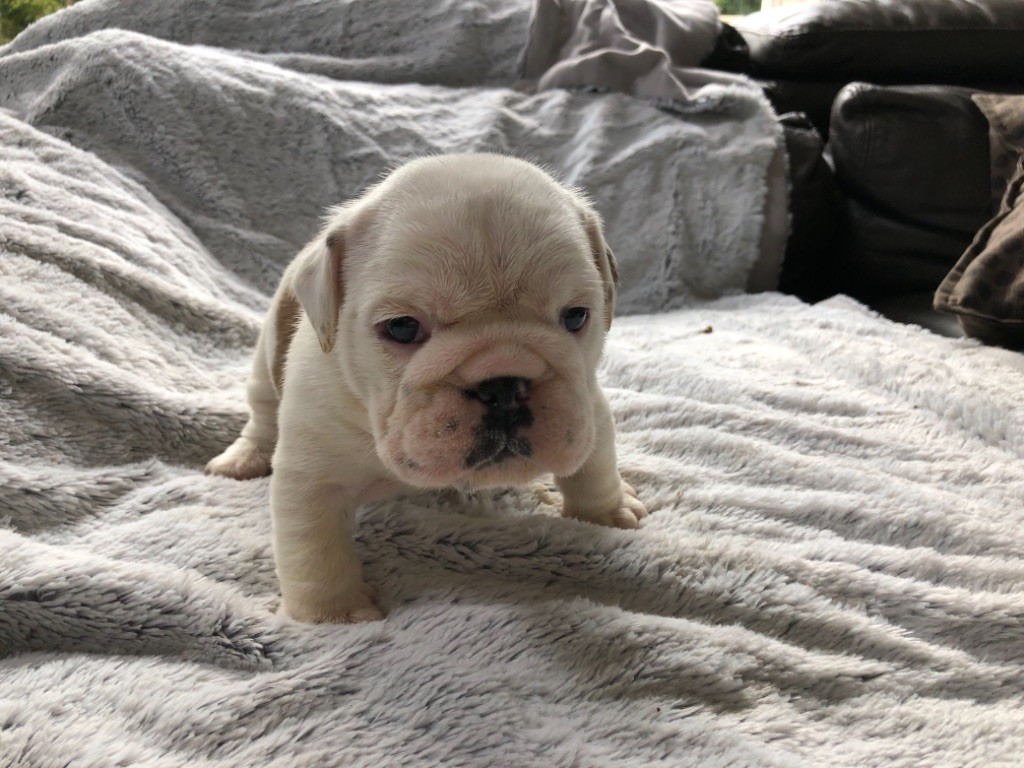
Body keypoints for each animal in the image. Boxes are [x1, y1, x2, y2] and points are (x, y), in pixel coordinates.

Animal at [206, 154, 647, 623]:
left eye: (576, 316)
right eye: (402, 327)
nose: (504, 385)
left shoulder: (585, 403)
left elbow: (594, 463)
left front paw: (608, 511)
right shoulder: (312, 468)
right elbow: (313, 545)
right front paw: (333, 614)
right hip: (264, 361)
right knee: (260, 416)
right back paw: (242, 459)